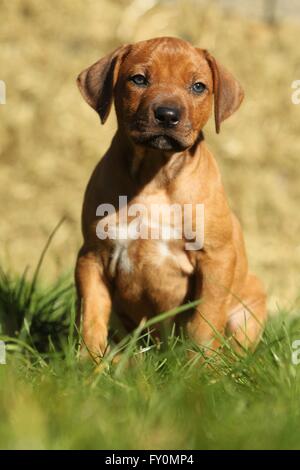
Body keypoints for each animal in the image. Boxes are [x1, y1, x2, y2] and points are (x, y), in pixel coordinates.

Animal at [75, 36, 268, 360]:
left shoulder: (216, 259)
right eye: (139, 79)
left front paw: (201, 368)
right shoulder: (92, 256)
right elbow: (92, 317)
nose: (167, 115)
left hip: (249, 304)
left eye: (198, 86)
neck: (156, 174)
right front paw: (88, 365)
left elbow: (204, 323)